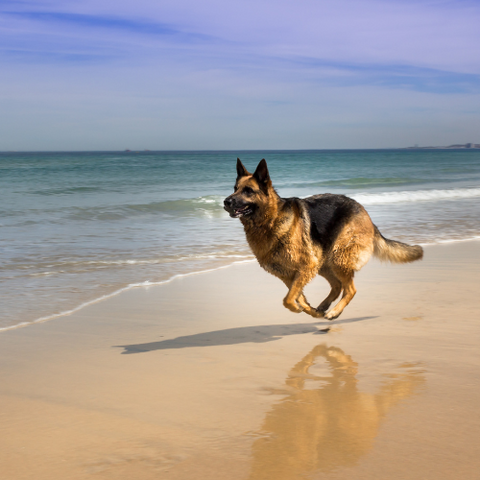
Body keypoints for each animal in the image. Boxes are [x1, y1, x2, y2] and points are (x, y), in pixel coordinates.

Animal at [223, 159, 422, 320]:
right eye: (235, 189)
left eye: (248, 191)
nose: (226, 202)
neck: (270, 221)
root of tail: (366, 215)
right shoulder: (289, 275)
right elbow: (297, 297)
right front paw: (310, 311)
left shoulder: (305, 267)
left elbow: (288, 299)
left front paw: (298, 309)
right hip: (324, 262)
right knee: (337, 286)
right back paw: (323, 307)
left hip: (338, 258)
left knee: (350, 289)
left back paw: (334, 312)